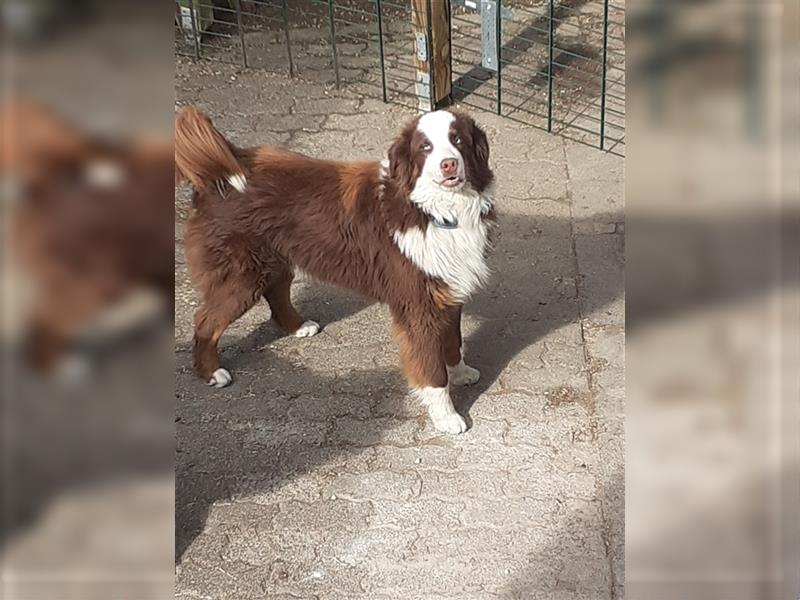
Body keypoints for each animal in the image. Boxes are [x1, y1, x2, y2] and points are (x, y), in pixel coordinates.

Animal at [177, 104, 494, 432]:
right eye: (425, 147)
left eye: (458, 140)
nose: (448, 164)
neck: (433, 211)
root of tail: (219, 171)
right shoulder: (419, 304)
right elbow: (432, 368)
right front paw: (447, 416)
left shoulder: (448, 290)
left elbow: (453, 342)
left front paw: (461, 373)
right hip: (242, 276)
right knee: (205, 320)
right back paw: (211, 372)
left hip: (276, 259)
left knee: (276, 291)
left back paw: (298, 326)